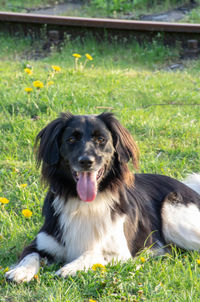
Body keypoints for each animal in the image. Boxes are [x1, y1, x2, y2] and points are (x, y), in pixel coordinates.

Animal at [5, 112, 200, 282]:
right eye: (71, 139)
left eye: (101, 139)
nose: (86, 161)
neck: (84, 203)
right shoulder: (42, 243)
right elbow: (30, 255)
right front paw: (20, 271)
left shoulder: (120, 251)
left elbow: (94, 252)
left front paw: (70, 268)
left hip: (173, 216)